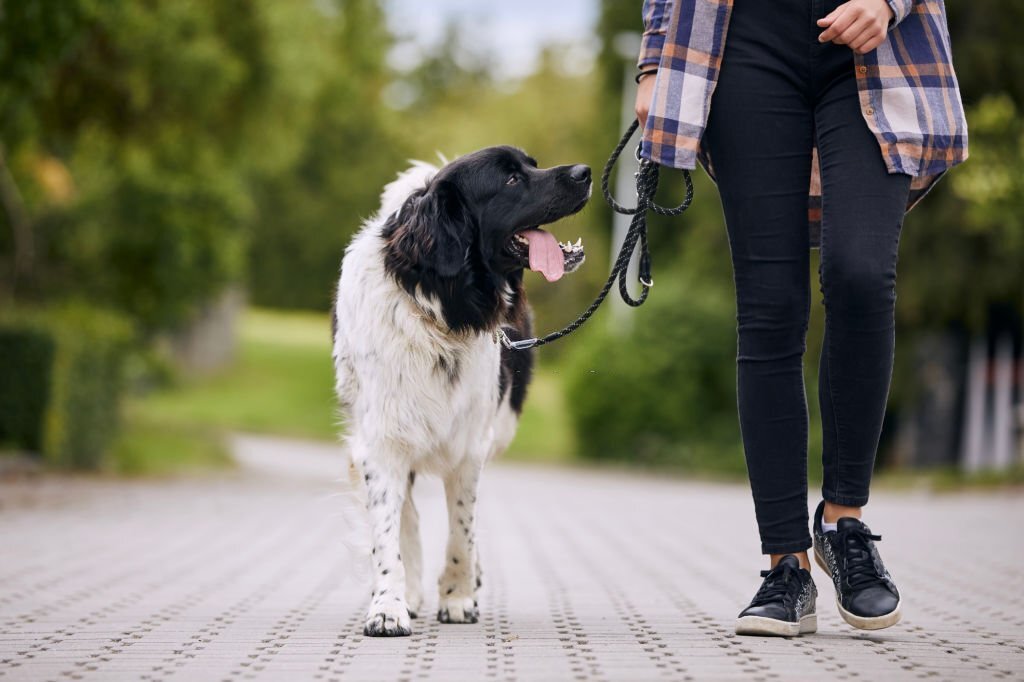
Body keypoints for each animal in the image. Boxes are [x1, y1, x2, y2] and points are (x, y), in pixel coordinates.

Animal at [333, 146, 593, 634]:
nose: (585, 171)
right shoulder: (378, 443)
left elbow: (461, 528)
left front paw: (457, 596)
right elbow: (388, 532)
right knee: (407, 516)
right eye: (510, 180)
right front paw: (389, 605)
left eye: (532, 164)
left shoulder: (472, 444)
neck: (440, 310)